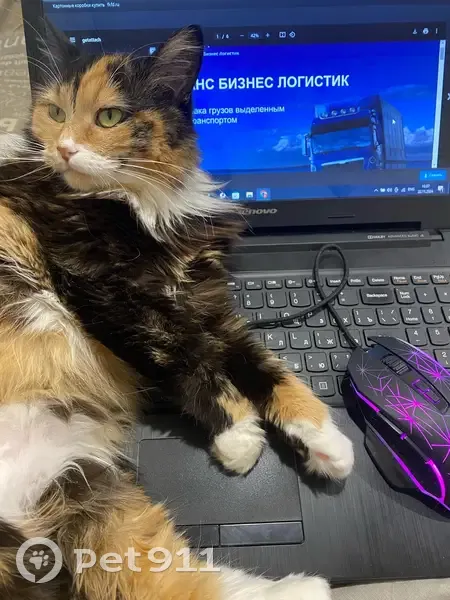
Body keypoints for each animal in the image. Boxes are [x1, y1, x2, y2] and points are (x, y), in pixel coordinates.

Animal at [0, 24, 351, 598]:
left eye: (110, 117)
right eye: (53, 111)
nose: (64, 148)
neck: (140, 209)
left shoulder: (208, 308)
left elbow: (268, 370)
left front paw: (326, 440)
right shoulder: (107, 300)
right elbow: (183, 359)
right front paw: (239, 432)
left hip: (78, 484)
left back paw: (305, 585)